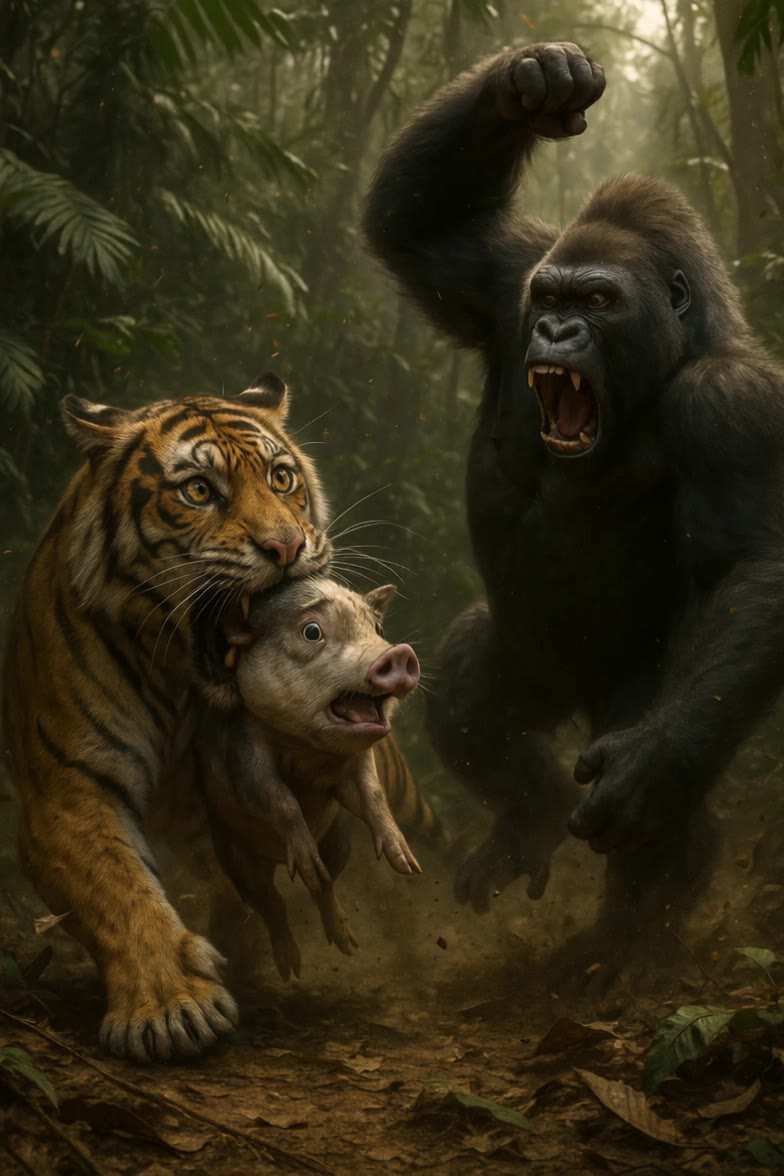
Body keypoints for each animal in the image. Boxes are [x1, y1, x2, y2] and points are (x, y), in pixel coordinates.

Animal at [1, 372, 331, 1063]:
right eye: (198, 490)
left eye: (281, 478)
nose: (287, 546)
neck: (186, 681)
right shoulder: (69, 790)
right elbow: (119, 888)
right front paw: (173, 1008)